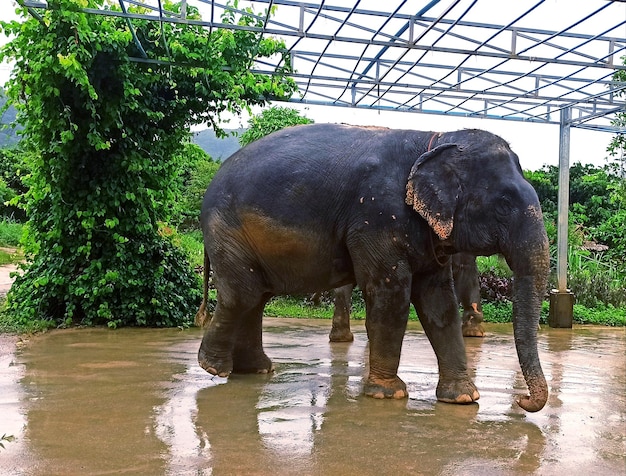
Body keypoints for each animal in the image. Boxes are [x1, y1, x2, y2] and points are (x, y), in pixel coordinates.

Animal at [194, 123, 544, 412]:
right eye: (504, 204)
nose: (522, 400)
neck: (435, 139)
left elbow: (439, 301)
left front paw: (463, 398)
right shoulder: (376, 215)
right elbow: (391, 292)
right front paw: (388, 394)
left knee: (256, 297)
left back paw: (256, 370)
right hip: (226, 229)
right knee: (243, 295)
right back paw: (215, 368)